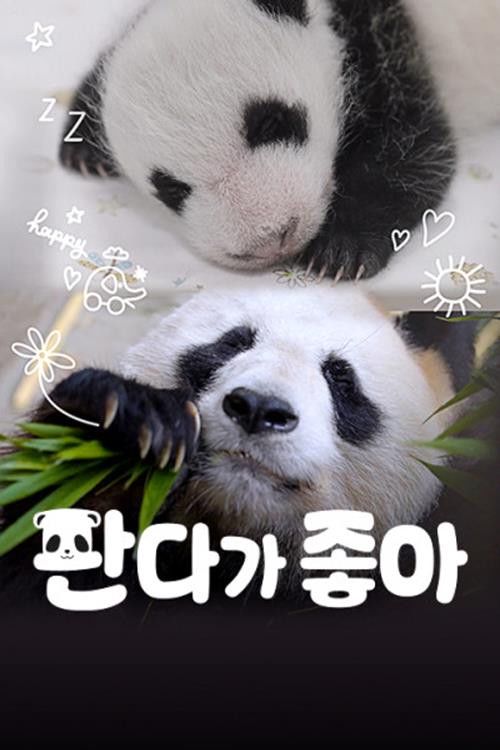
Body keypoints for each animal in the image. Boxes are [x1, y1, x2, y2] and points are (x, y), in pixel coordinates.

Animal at [60, 0, 500, 279]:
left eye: (273, 123)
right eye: (171, 189)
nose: (271, 238)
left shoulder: (385, 46)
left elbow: (414, 149)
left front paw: (340, 252)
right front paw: (81, 144)